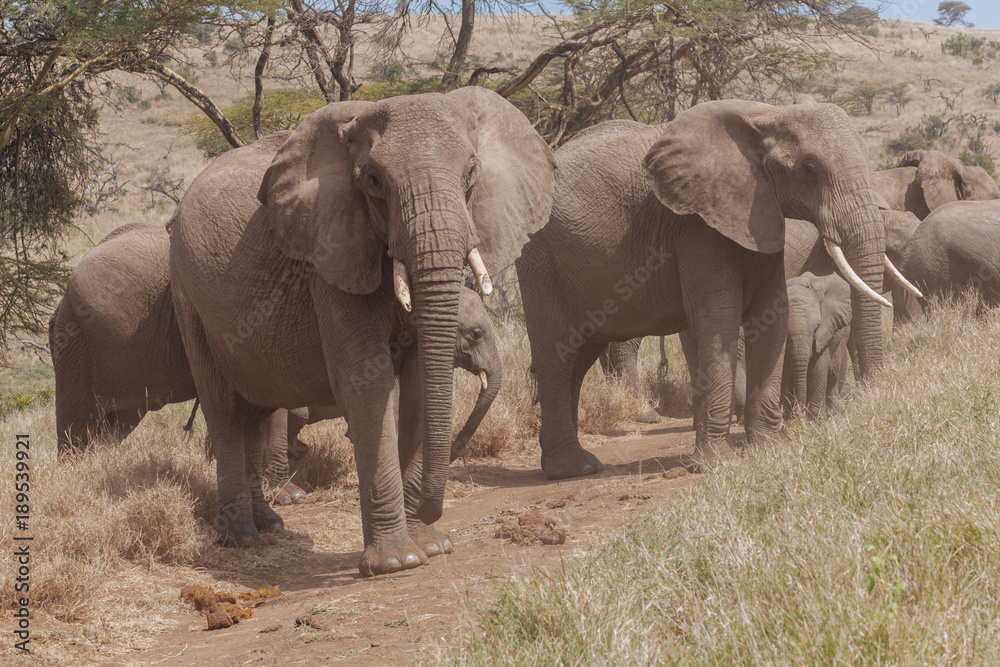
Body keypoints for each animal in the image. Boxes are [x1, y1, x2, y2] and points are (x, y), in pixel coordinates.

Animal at [166, 90, 556, 580]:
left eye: (472, 171)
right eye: (372, 180)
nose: (429, 510)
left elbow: (417, 383)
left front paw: (431, 546)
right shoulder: (329, 252)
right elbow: (367, 379)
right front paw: (398, 561)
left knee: (257, 411)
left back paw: (270, 523)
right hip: (187, 296)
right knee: (223, 409)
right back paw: (240, 538)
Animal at [780, 270, 852, 418]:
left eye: (816, 329)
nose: (799, 413)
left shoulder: (825, 334)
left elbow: (818, 369)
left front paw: (814, 421)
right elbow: (785, 373)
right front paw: (787, 421)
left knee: (833, 377)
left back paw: (832, 417)